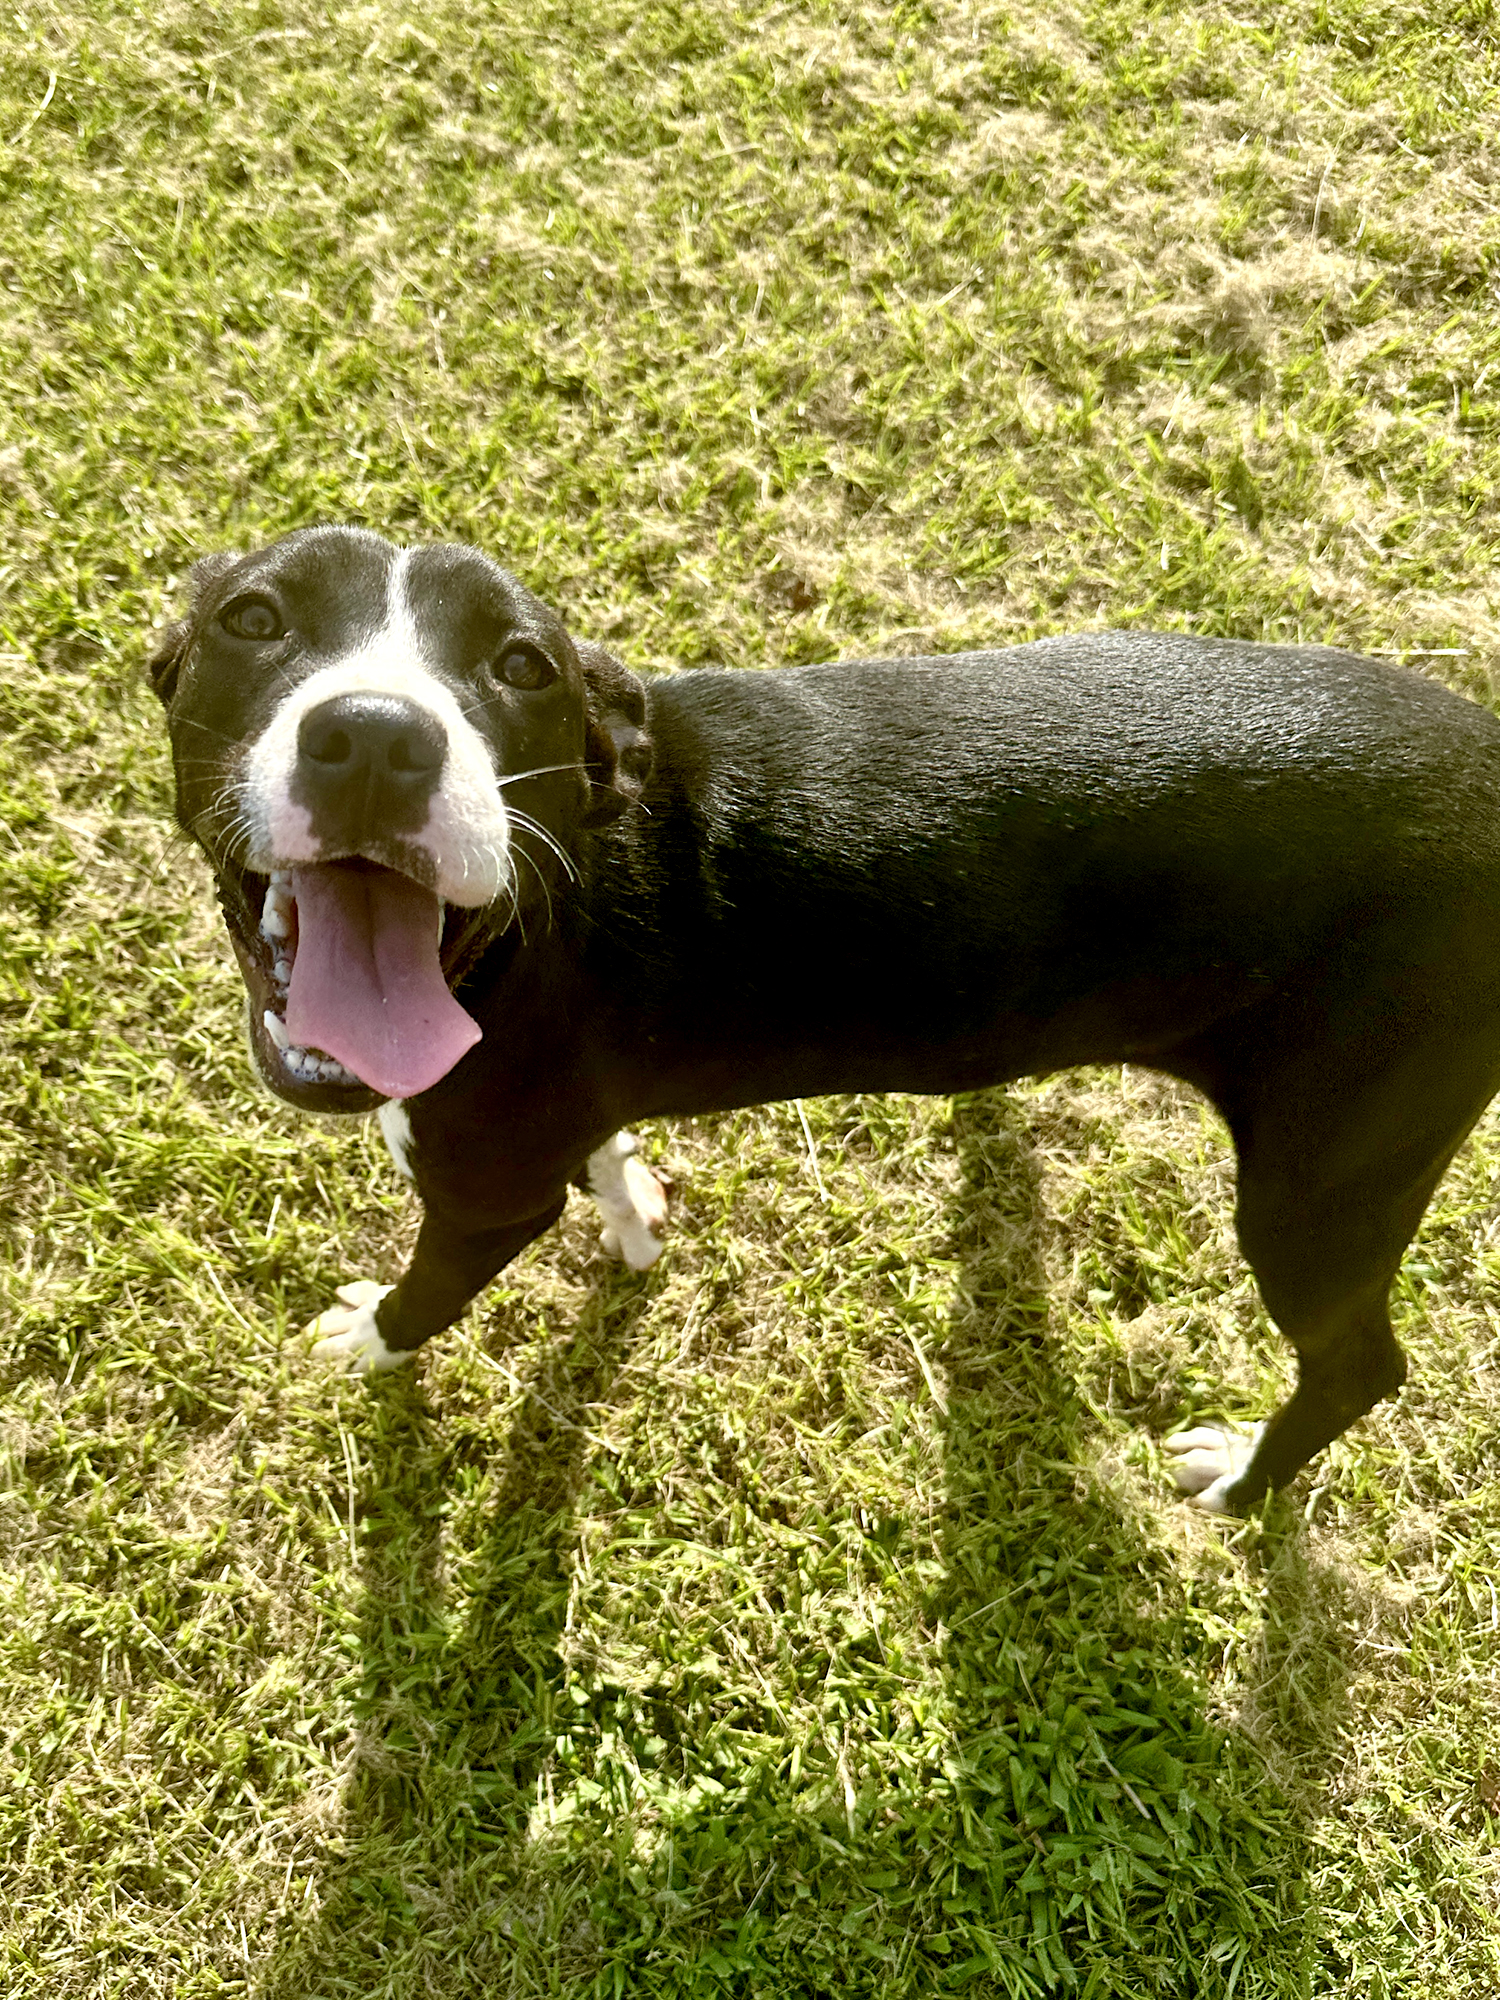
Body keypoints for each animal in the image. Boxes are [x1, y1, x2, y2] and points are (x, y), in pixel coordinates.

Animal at [148, 526, 1500, 1513]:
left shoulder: (489, 1195)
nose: (375, 738)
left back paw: (1240, 1486)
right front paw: (632, 1216)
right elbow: (610, 1157)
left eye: (521, 665)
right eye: (253, 619)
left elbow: (428, 1289)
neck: (545, 906)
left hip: (1324, 1182)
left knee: (1359, 1363)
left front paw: (367, 1340)